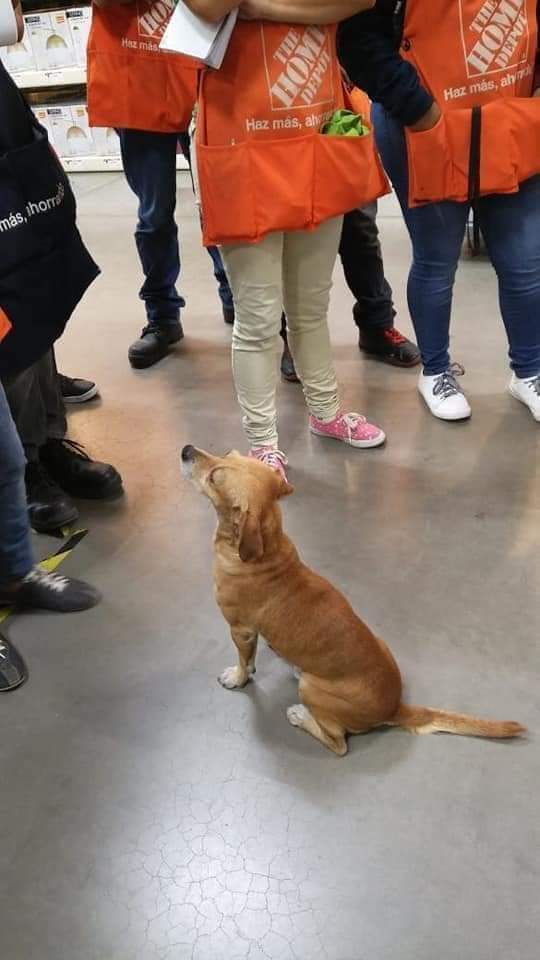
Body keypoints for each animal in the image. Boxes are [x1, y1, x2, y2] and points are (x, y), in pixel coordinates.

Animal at [182, 446, 528, 752]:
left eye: (214, 477)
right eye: (228, 453)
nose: (186, 449)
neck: (266, 550)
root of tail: (395, 707)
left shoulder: (240, 630)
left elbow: (245, 662)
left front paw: (238, 677)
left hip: (312, 690)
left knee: (338, 744)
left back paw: (300, 716)